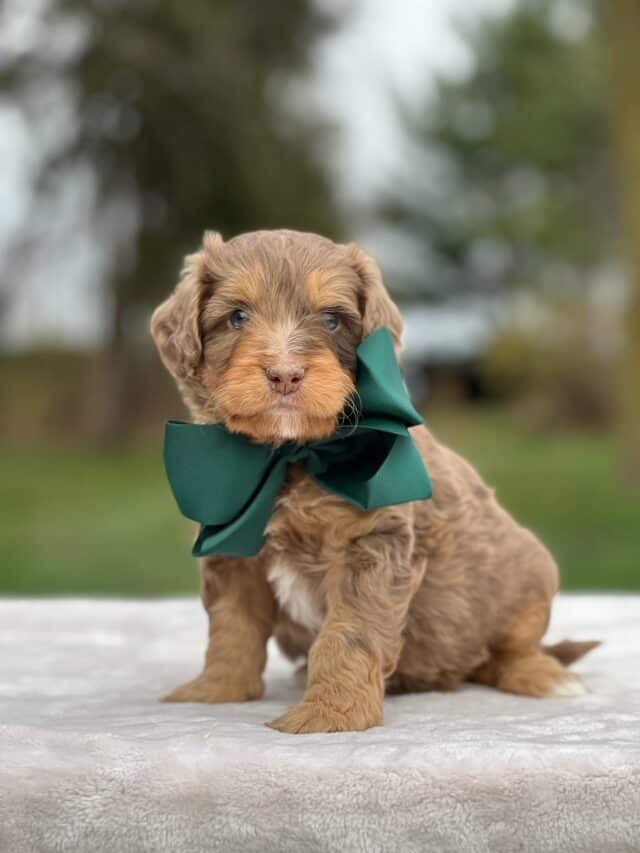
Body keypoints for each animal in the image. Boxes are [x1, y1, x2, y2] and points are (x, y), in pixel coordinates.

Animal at [150, 226, 596, 732]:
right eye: (237, 317)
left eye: (331, 320)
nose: (285, 375)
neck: (291, 455)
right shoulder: (234, 552)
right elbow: (232, 627)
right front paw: (215, 690)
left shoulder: (372, 544)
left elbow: (349, 634)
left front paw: (329, 713)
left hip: (531, 578)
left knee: (514, 648)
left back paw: (545, 675)